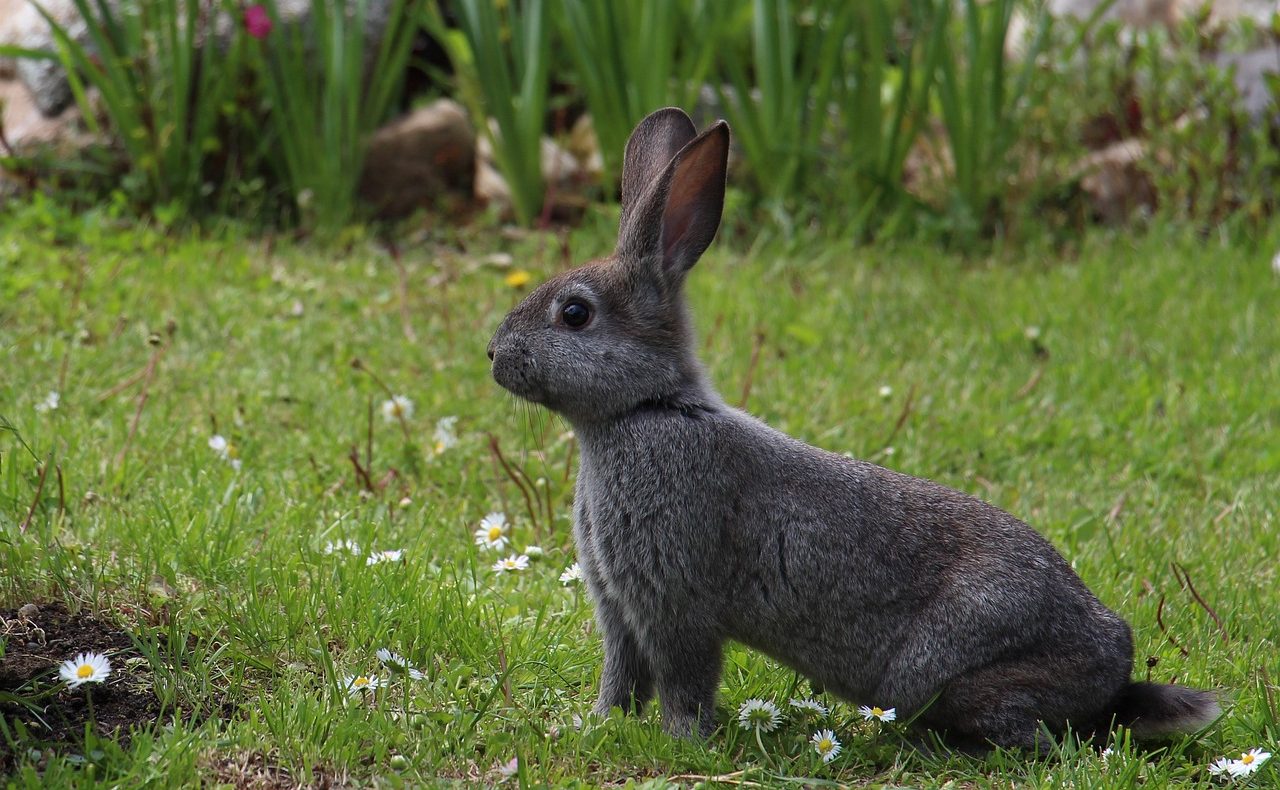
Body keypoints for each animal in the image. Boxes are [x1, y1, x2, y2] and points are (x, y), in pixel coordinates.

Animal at [486, 107, 1218, 747]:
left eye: (575, 314)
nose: (493, 355)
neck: (646, 408)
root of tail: (1114, 667)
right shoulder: (619, 607)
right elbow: (621, 676)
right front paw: (595, 726)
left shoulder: (675, 602)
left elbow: (684, 681)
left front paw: (682, 743)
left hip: (942, 670)